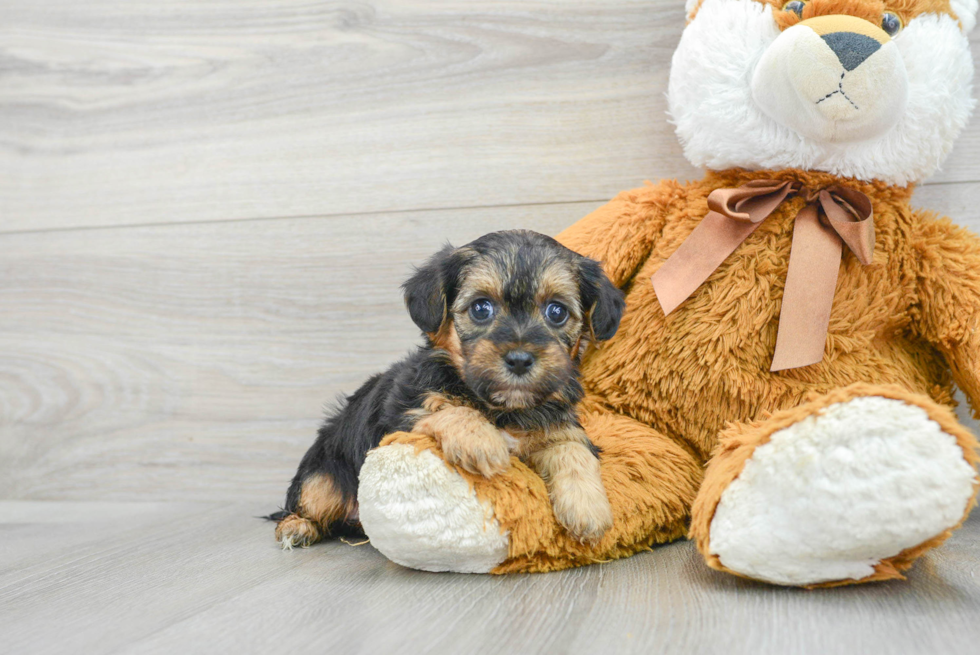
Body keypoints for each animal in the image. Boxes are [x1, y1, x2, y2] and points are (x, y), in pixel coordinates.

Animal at [274, 231, 628, 548]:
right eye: (481, 308)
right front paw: (482, 441)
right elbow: (447, 407)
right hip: (321, 477)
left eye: (557, 311)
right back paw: (296, 528)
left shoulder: (559, 425)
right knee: (307, 503)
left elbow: (573, 450)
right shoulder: (403, 409)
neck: (501, 408)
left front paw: (589, 510)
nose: (519, 359)